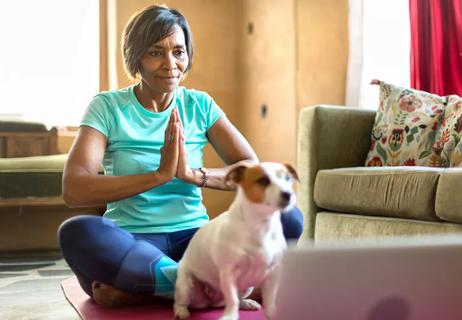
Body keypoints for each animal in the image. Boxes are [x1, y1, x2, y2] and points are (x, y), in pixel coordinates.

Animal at [173, 162, 300, 320]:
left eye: (288, 178)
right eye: (263, 180)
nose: (288, 194)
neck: (261, 225)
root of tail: (209, 301)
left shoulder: (273, 273)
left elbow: (270, 299)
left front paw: (272, 313)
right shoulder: (228, 273)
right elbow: (232, 299)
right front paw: (230, 316)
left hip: (247, 288)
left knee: (231, 301)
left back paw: (247, 303)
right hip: (186, 285)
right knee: (182, 301)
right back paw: (181, 311)